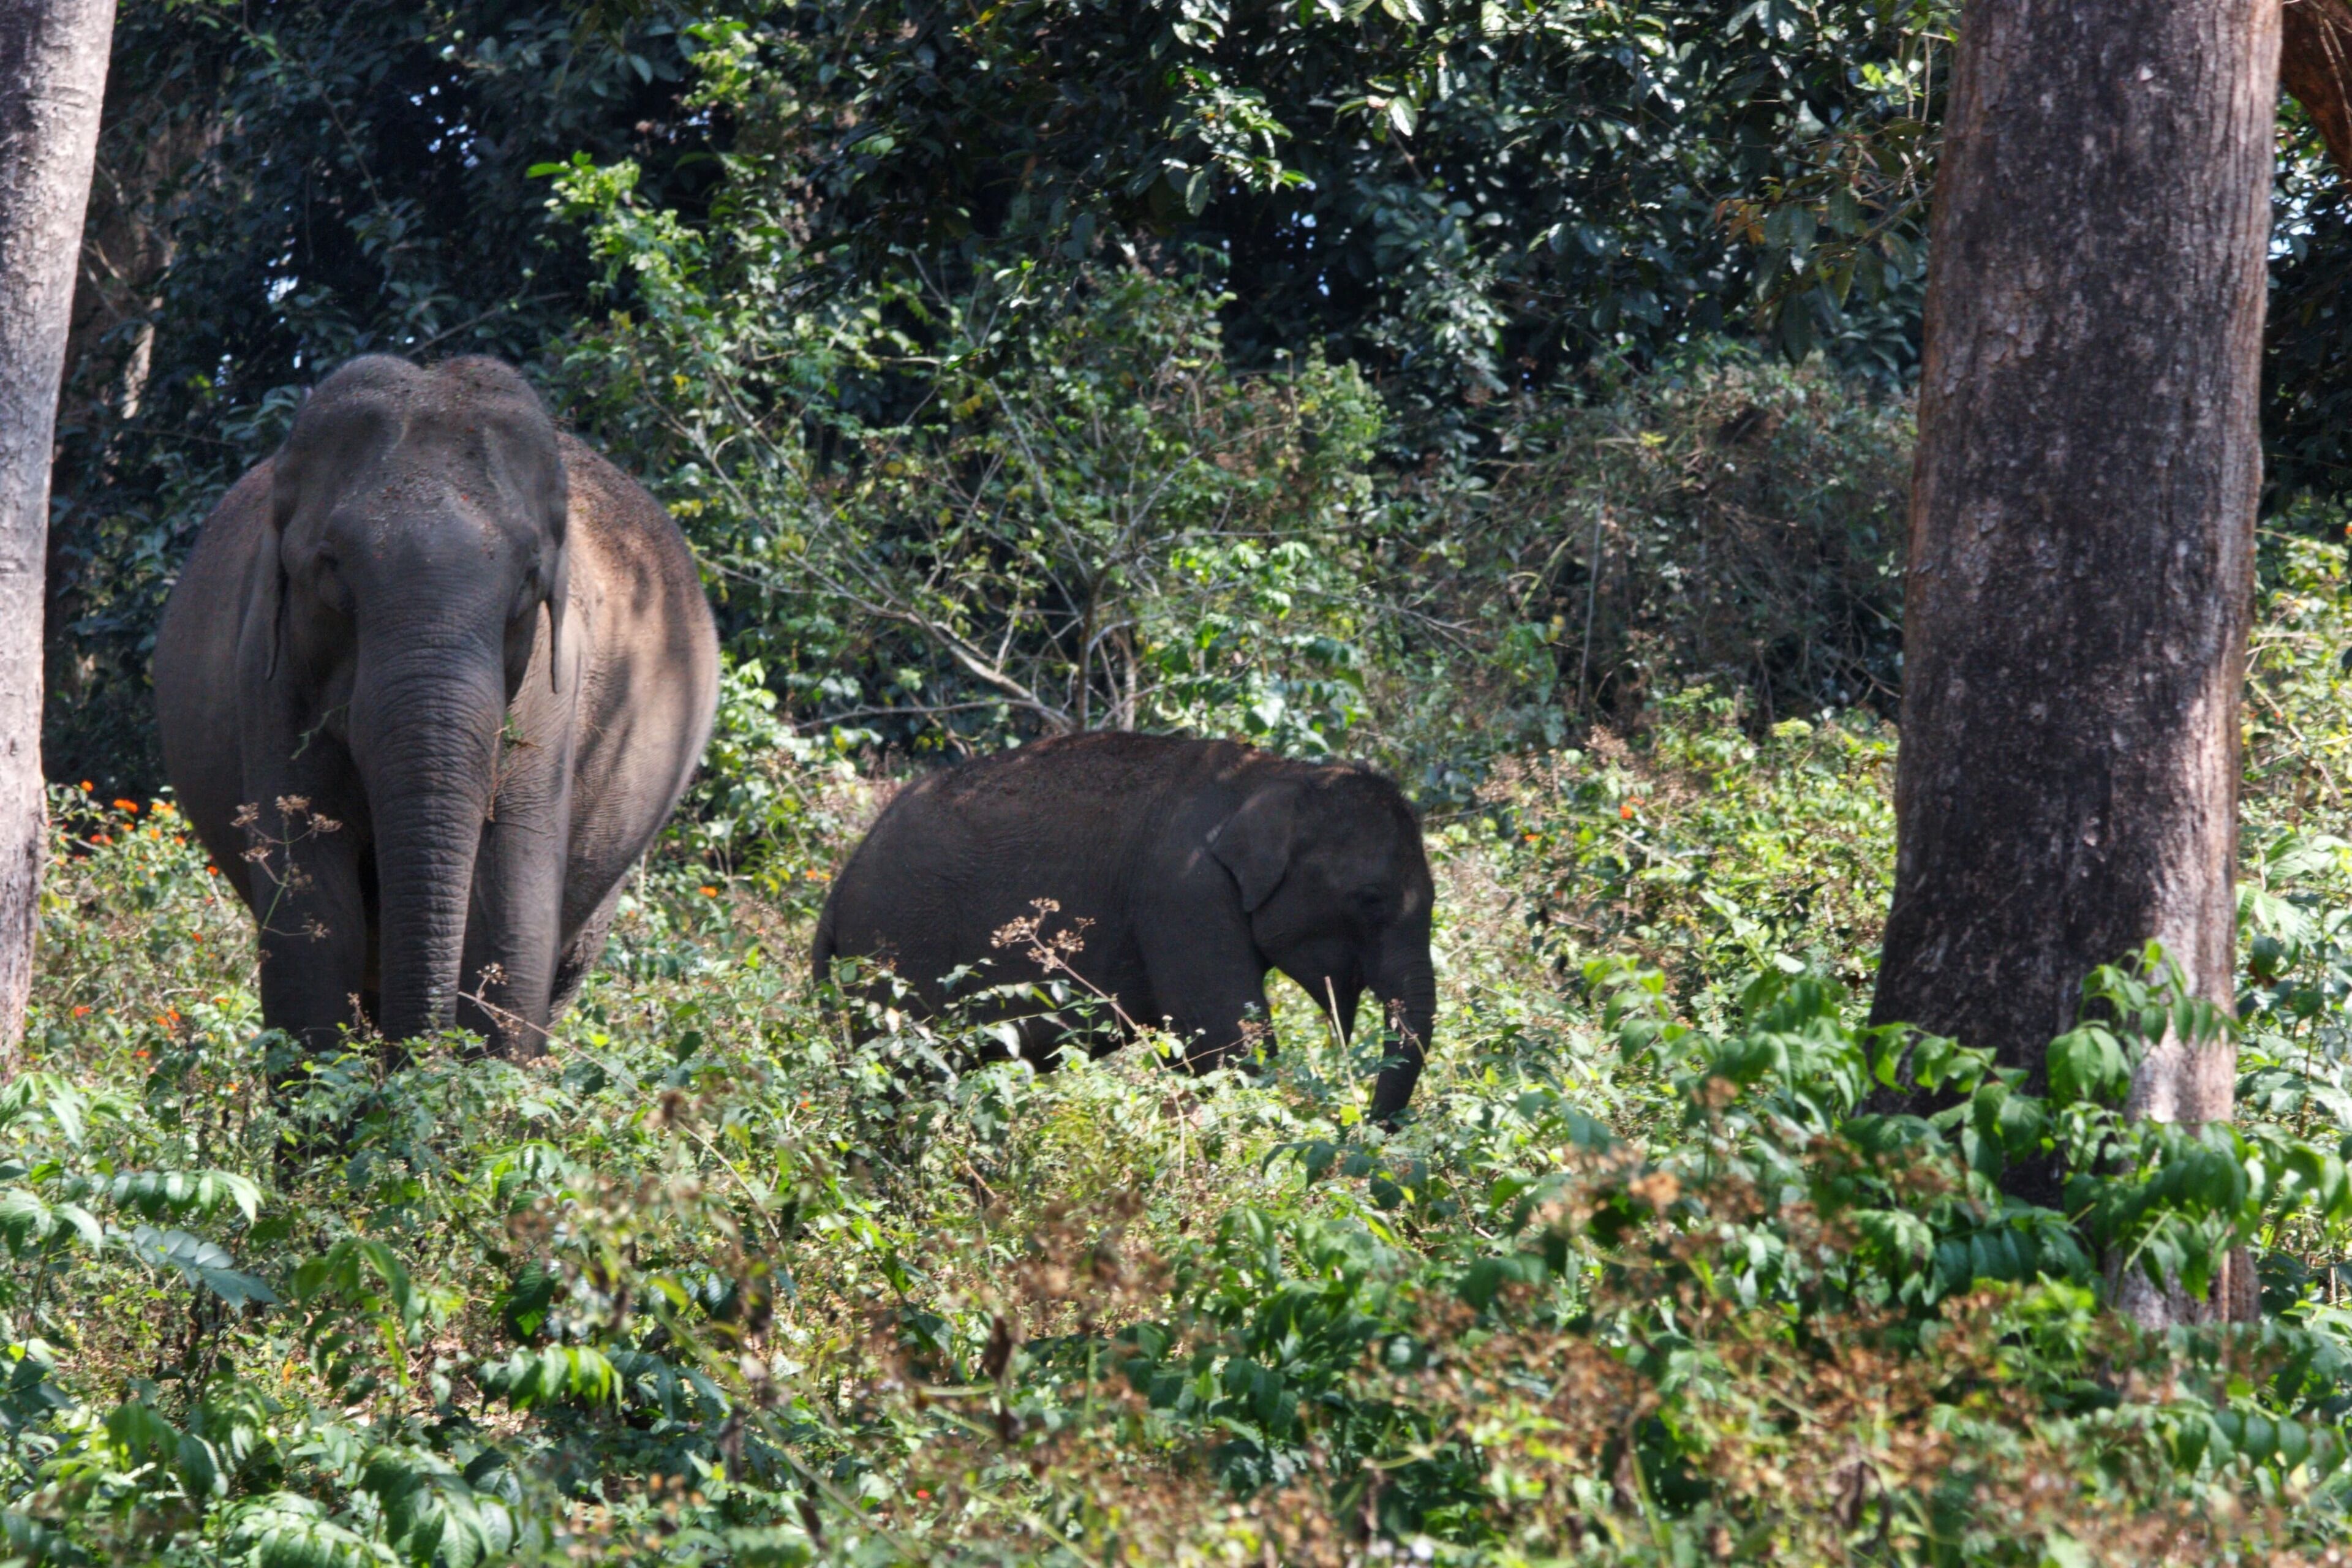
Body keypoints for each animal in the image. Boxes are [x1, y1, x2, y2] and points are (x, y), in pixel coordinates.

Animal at [154, 354, 719, 1055]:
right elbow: (312, 917)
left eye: (529, 578)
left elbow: (512, 913)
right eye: (332, 568)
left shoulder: (550, 693)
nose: (421, 1054)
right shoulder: (267, 672)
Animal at [813, 732, 1436, 1119]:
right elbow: (1226, 1044)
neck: (1279, 774)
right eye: (1371, 899)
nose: (1364, 1124)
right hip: (897, 947)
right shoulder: (1183, 895)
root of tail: (841, 885)